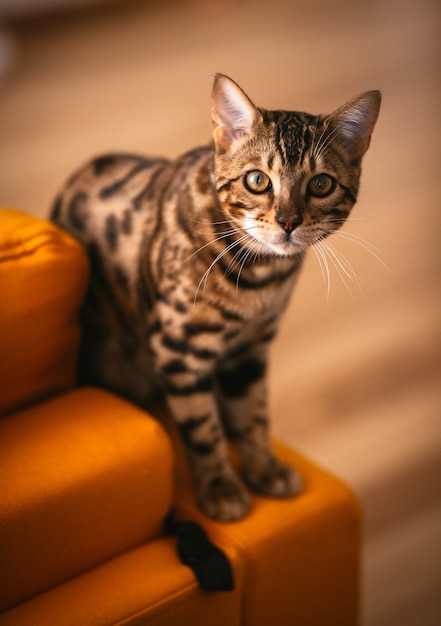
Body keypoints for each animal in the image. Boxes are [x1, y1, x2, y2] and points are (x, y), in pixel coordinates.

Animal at [50, 73, 382, 520]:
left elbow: (254, 414)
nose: (288, 221)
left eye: (321, 184)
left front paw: (263, 468)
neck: (259, 279)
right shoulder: (178, 351)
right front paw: (221, 487)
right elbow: (202, 427)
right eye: (257, 180)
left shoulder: (250, 350)